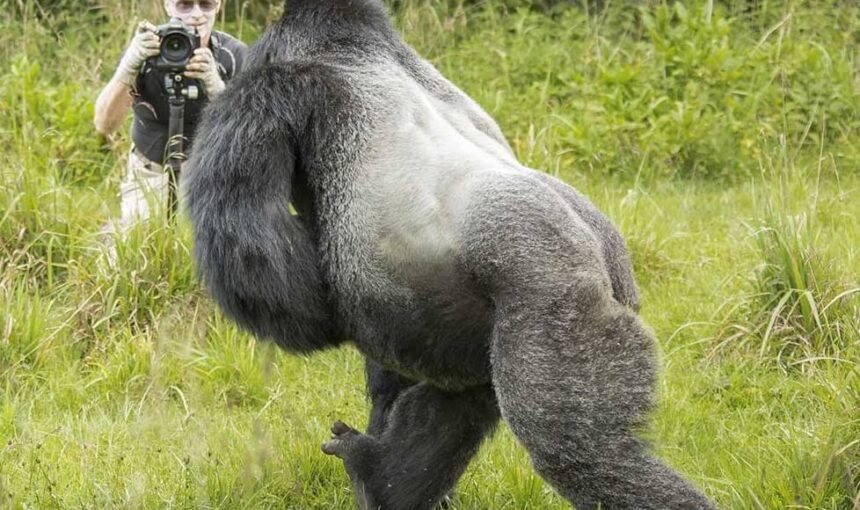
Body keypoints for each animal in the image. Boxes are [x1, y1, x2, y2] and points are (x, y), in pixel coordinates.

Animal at [184, 1, 717, 508]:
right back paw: (382, 479)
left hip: (552, 299)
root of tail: (604, 255)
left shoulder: (269, 87)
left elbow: (271, 274)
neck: (350, 47)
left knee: (583, 451)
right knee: (464, 399)